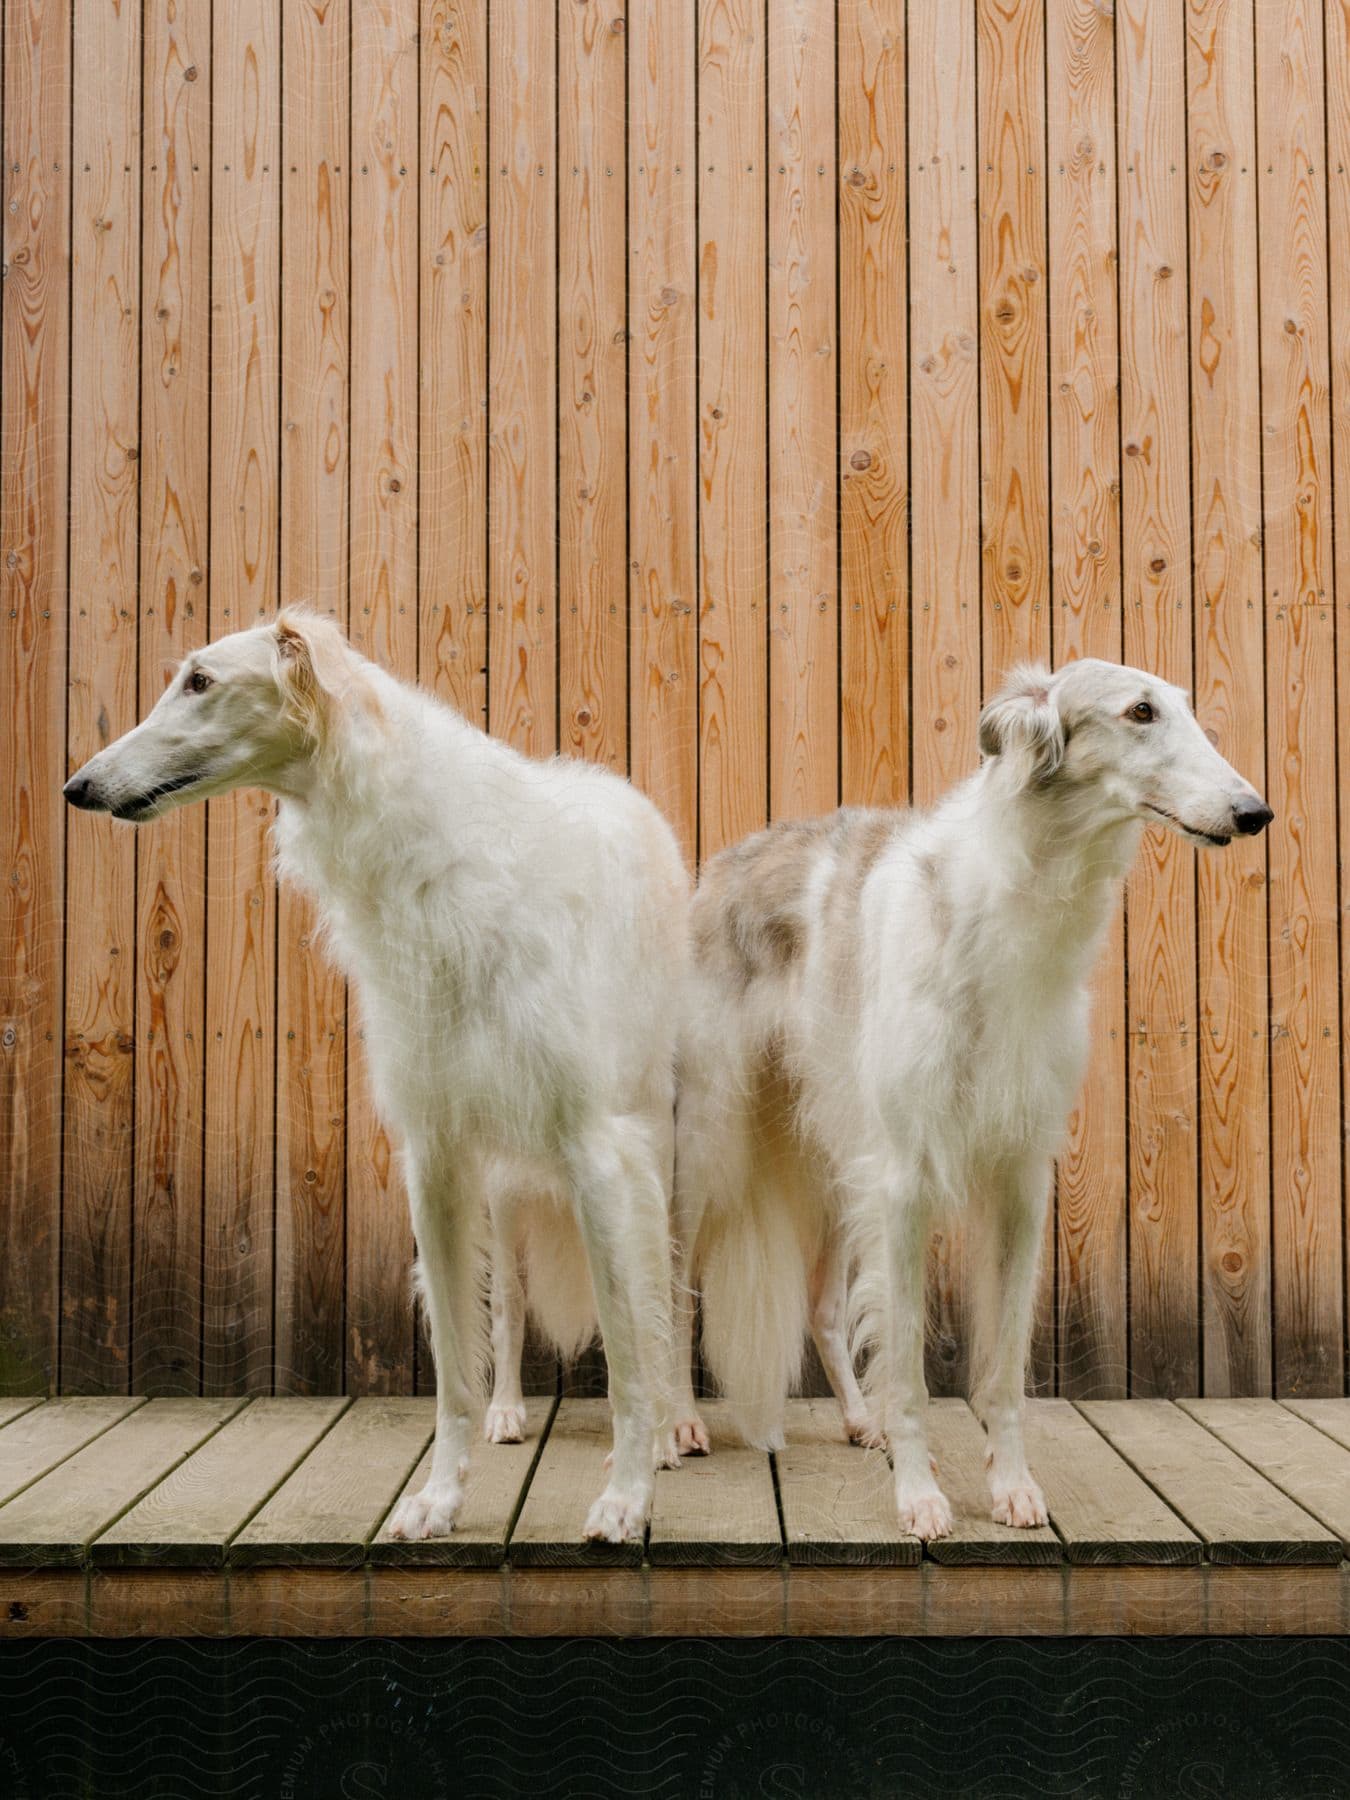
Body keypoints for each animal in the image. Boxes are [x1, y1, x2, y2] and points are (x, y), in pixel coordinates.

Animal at [64, 612, 691, 1540]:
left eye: (200, 681)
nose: (79, 786)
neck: (441, 862)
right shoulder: (437, 1155)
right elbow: (455, 1367)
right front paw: (439, 1497)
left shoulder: (599, 1149)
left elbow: (627, 1348)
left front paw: (628, 1494)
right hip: (506, 1182)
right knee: (507, 1310)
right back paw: (512, 1412)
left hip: (663, 1150)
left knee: (665, 1297)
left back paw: (677, 1427)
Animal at [680, 662, 1274, 1533]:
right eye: (1139, 711)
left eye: (1184, 709)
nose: (1255, 812)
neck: (1012, 909)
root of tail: (724, 861)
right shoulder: (906, 1179)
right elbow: (911, 1369)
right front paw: (921, 1496)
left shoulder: (1019, 1177)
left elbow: (1001, 1370)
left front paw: (1012, 1487)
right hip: (708, 1146)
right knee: (664, 1287)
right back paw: (673, 1423)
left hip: (833, 1159)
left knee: (824, 1311)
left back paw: (858, 1419)